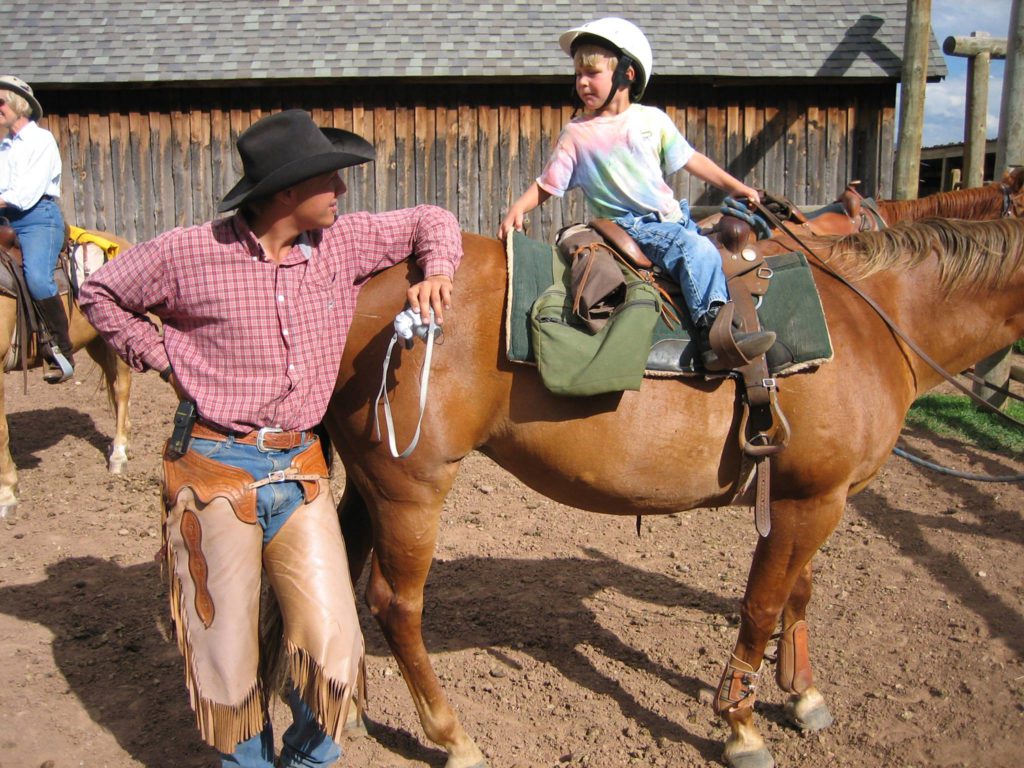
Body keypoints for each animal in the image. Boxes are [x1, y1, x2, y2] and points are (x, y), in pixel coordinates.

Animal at [323, 217, 1024, 768]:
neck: (876, 319)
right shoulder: (811, 503)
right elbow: (761, 605)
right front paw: (741, 725)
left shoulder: (811, 497)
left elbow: (798, 593)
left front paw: (802, 693)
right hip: (411, 490)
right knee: (395, 605)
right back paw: (453, 738)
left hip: (370, 483)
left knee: (347, 568)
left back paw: (350, 708)